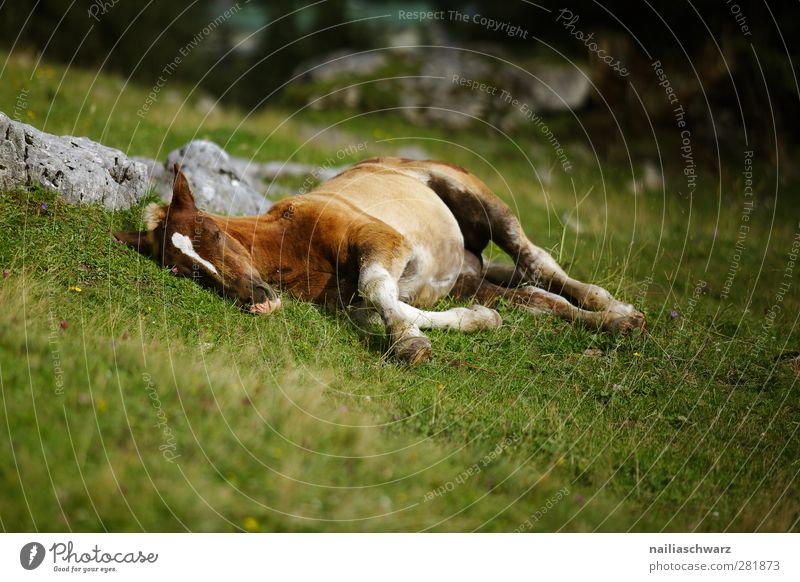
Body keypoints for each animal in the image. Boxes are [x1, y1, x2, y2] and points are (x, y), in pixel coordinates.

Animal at [117, 157, 644, 362]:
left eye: (209, 231)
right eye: (183, 268)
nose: (258, 300)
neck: (290, 240)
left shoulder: (382, 240)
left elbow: (377, 287)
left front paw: (410, 345)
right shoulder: (347, 300)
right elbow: (387, 306)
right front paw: (477, 321)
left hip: (479, 201)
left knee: (537, 261)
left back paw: (617, 311)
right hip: (469, 277)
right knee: (536, 296)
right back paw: (607, 322)